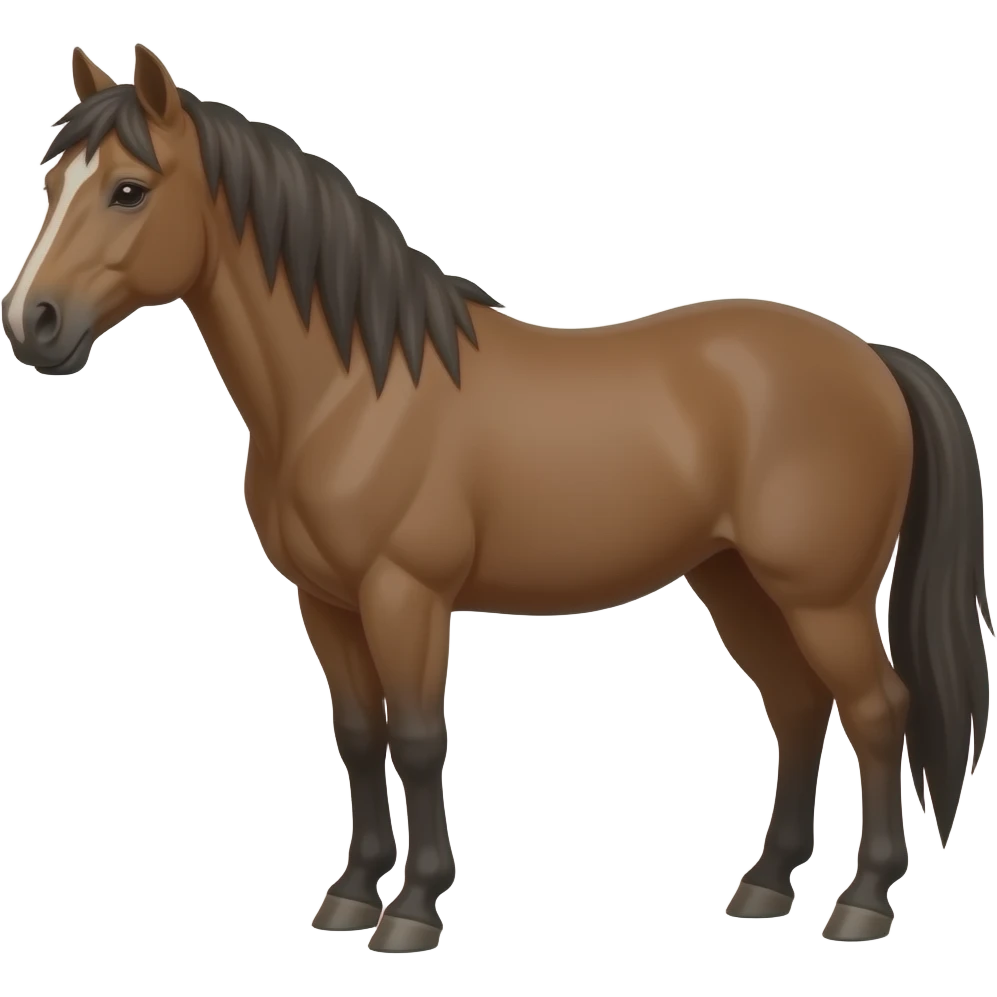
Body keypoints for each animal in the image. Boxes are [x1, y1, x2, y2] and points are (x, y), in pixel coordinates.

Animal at [2, 45, 991, 951]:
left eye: (129, 190)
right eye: (52, 182)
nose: (32, 323)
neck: (351, 391)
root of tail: (869, 359)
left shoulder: (404, 594)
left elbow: (415, 737)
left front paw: (411, 909)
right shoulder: (326, 602)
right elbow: (356, 736)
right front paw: (350, 893)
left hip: (820, 595)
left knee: (876, 711)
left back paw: (862, 901)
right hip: (736, 582)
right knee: (797, 708)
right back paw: (764, 884)